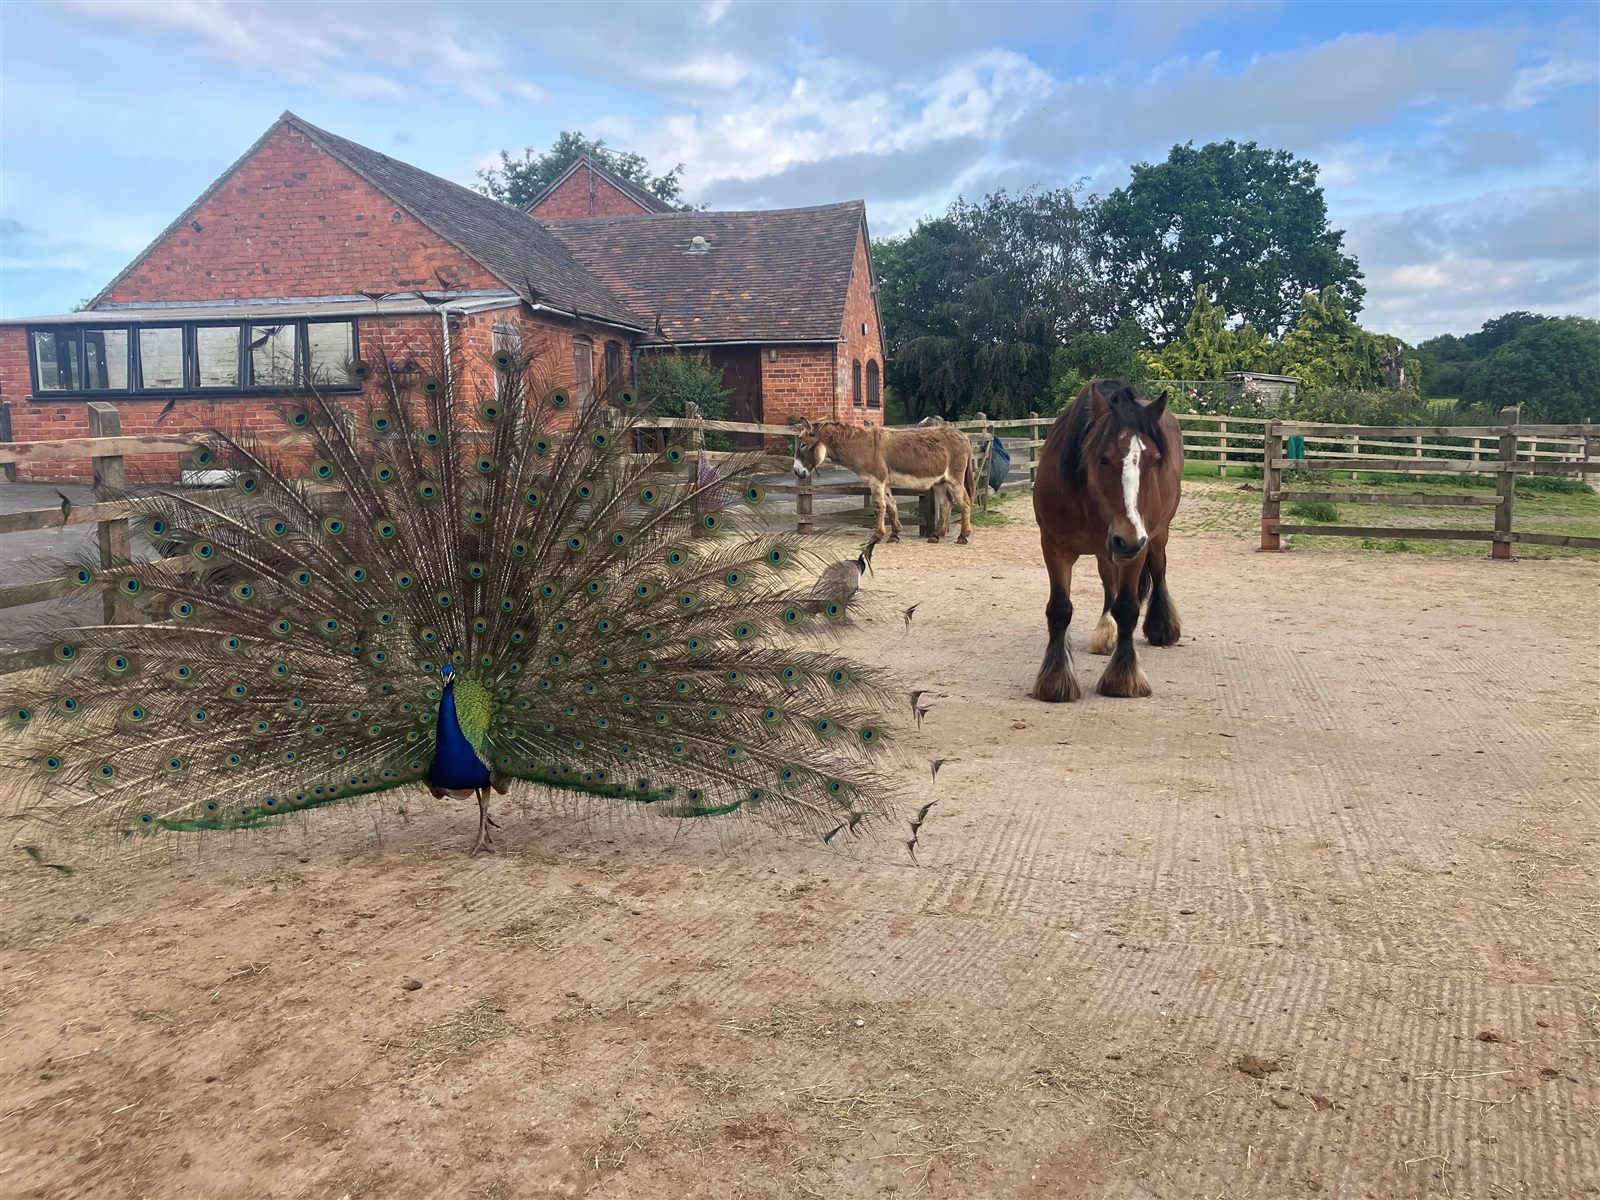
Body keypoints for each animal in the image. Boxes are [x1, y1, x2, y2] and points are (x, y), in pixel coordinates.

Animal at [792, 419, 976, 544]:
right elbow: (892, 507)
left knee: (965, 502)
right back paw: (937, 535)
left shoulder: (876, 481)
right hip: (940, 481)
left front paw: (877, 535)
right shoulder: (884, 483)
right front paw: (895, 534)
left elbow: (879, 507)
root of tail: (964, 436)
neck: (863, 446)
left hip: (954, 478)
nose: (796, 471)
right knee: (946, 504)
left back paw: (963, 536)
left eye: (802, 444)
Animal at [1031, 380, 1184, 702]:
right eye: (1103, 458)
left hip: (1155, 537)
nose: (1128, 538)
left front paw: (1123, 678)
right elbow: (1060, 609)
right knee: (1107, 580)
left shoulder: (1136, 549)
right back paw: (1106, 630)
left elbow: (1127, 607)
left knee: (1159, 570)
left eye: (1155, 460)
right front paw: (1056, 680)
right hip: (1111, 549)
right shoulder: (1054, 547)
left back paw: (1162, 627)